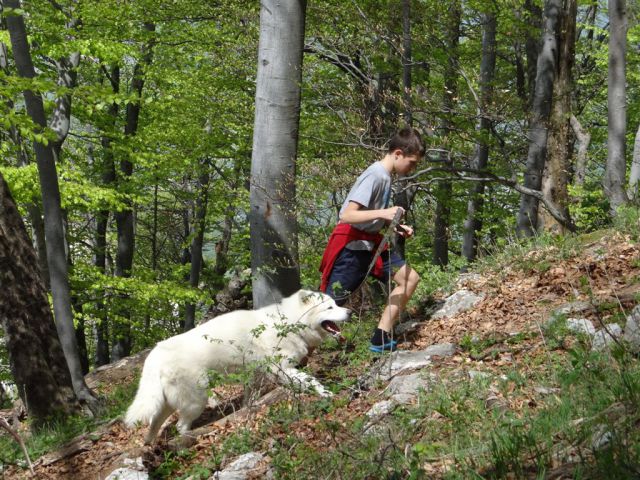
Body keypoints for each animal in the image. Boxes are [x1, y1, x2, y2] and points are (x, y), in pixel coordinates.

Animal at [124, 288, 350, 442]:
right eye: (330, 307)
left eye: (335, 304)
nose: (349, 311)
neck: (288, 321)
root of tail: (155, 353)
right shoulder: (283, 369)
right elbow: (311, 381)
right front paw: (327, 394)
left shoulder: (256, 375)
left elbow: (250, 397)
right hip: (195, 400)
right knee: (181, 425)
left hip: (169, 401)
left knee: (155, 423)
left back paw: (149, 443)